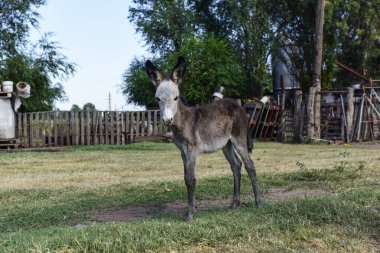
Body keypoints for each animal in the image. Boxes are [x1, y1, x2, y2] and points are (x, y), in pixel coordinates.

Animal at [145, 56, 262, 220]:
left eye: (176, 98)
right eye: (158, 99)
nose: (167, 120)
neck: (184, 120)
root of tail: (238, 105)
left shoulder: (192, 150)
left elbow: (190, 179)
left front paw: (189, 215)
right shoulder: (183, 152)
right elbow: (185, 177)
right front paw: (191, 210)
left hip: (239, 140)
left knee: (250, 165)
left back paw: (258, 203)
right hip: (226, 144)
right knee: (236, 165)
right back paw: (234, 204)